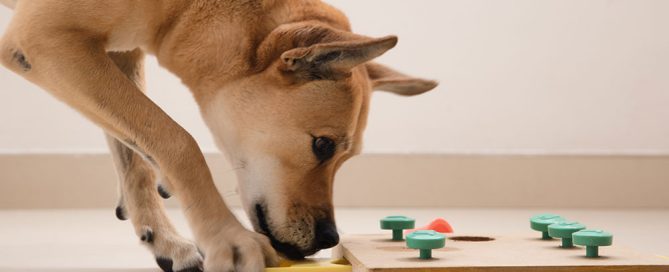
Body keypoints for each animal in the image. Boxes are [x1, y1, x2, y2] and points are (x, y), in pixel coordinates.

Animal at [0, 0, 436, 270]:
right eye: (323, 145)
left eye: (346, 157)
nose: (330, 237)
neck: (182, 9)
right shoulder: (46, 40)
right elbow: (176, 139)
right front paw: (226, 237)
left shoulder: (114, 51)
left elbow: (135, 157)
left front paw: (162, 239)